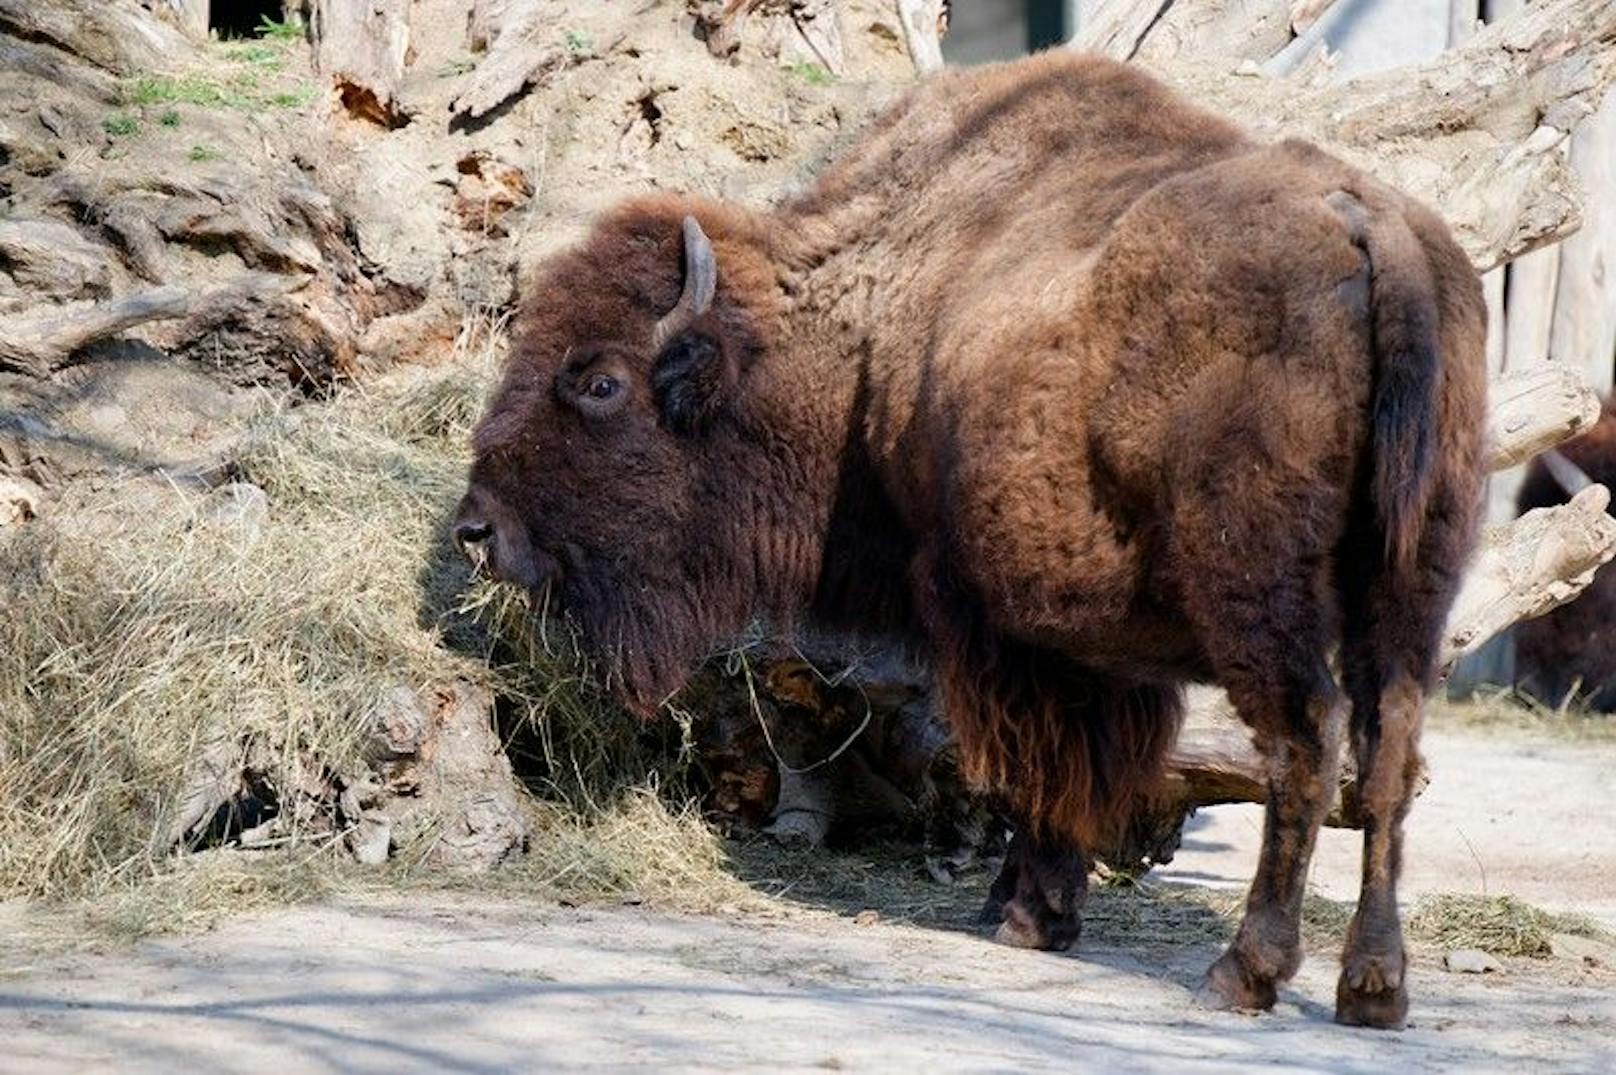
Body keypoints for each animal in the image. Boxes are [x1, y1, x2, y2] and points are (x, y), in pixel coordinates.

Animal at [455, 54, 1486, 1028]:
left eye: (600, 383)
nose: (477, 529)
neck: (870, 325)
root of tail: (1368, 227)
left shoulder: (1000, 625)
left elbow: (1035, 773)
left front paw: (1026, 913)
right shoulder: (1091, 646)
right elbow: (1087, 768)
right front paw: (1031, 906)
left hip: (1261, 597)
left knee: (1305, 740)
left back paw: (1246, 970)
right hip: (1411, 592)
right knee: (1388, 754)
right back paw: (1374, 988)